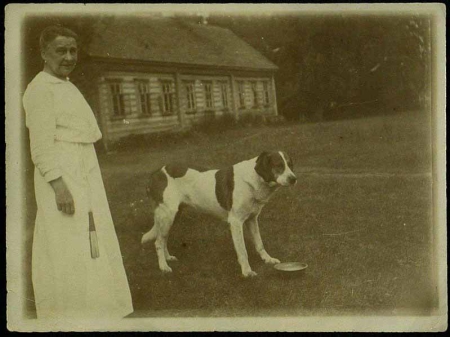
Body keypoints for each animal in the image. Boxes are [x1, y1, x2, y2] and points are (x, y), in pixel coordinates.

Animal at [142, 151, 298, 276]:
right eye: (279, 165)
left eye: (290, 165)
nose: (293, 179)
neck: (255, 180)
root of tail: (156, 172)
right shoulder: (236, 223)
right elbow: (243, 251)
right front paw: (247, 271)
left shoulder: (252, 219)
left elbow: (259, 243)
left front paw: (268, 259)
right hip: (168, 215)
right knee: (158, 242)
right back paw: (163, 266)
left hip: (172, 216)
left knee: (163, 238)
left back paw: (168, 258)